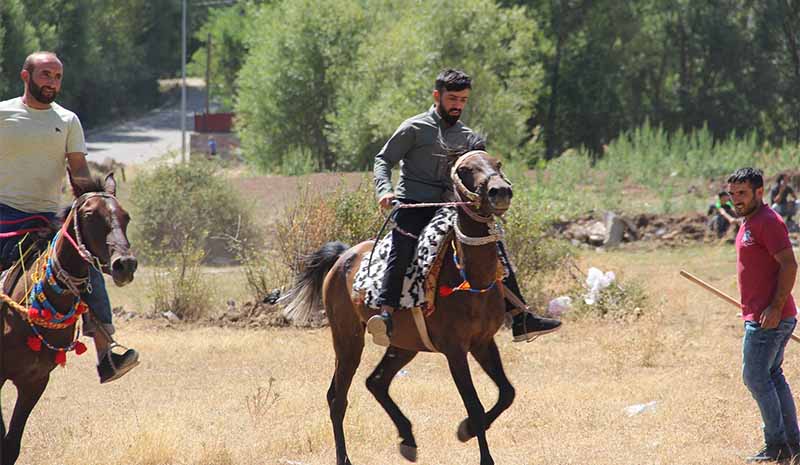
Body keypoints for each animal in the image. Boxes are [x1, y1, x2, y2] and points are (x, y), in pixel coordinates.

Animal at [282, 150, 520, 464]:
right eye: (465, 170)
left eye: (497, 163)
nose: (500, 191)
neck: (469, 277)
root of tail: (343, 256)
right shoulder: (455, 350)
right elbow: (475, 406)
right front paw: (475, 440)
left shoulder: (483, 342)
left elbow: (506, 393)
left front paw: (465, 430)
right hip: (348, 340)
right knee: (337, 397)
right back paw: (344, 457)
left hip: (404, 344)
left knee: (376, 382)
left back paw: (407, 439)